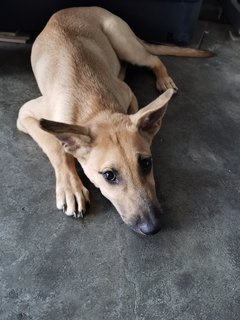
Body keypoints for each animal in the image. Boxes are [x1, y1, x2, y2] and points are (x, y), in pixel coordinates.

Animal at [16, 5, 212, 235]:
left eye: (146, 163)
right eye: (109, 176)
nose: (153, 228)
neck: (95, 105)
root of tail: (77, 8)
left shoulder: (129, 94)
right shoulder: (25, 114)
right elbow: (56, 147)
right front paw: (70, 187)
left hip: (122, 41)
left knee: (153, 58)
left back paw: (163, 79)